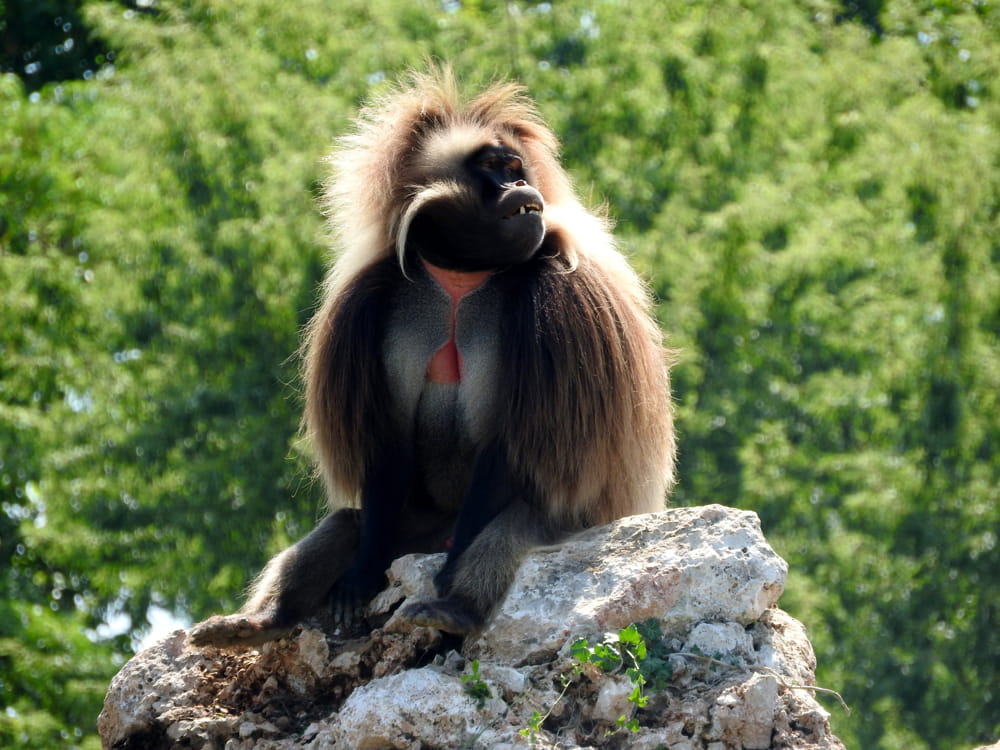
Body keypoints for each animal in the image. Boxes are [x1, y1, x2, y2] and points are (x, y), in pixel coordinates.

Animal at [189, 68, 676, 648]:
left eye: (514, 166)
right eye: (493, 168)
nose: (519, 187)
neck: (462, 276)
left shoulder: (562, 300)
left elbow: (511, 445)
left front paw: (450, 584)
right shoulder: (371, 301)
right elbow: (387, 442)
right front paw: (357, 581)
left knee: (510, 527)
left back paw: (454, 608)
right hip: (413, 531)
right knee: (348, 523)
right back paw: (262, 621)